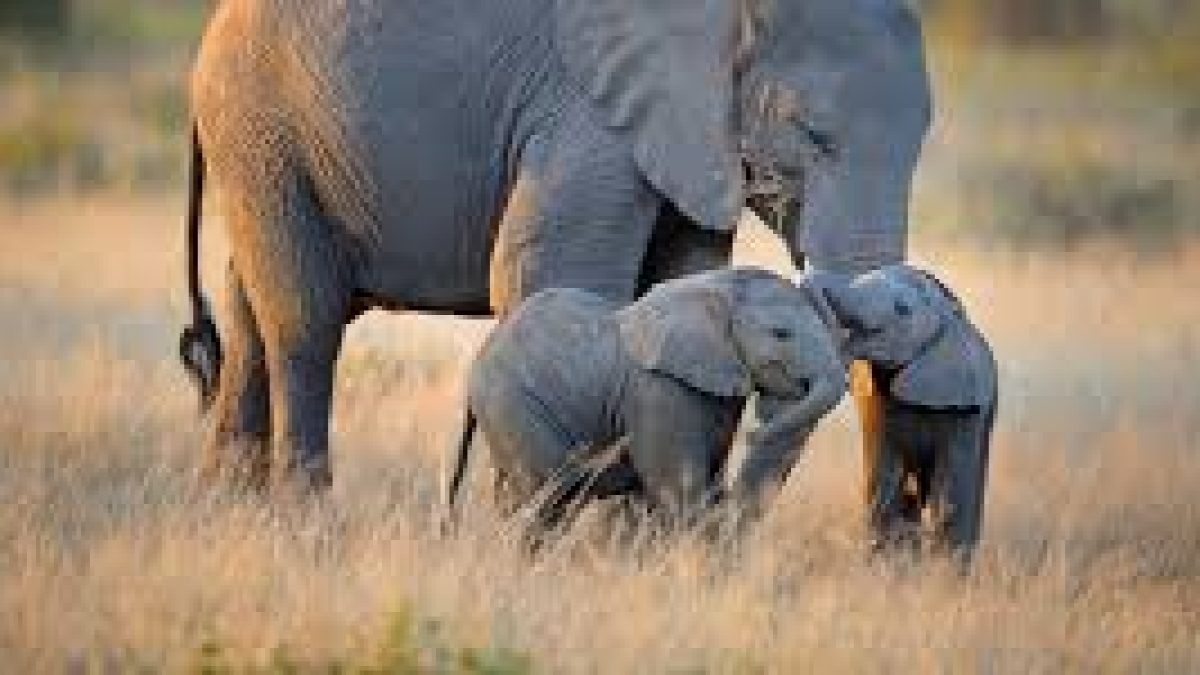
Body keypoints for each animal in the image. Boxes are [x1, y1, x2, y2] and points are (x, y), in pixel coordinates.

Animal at [177, 0, 932, 491]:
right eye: (811, 134)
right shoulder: (590, 114)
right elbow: (548, 272)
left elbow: (681, 276)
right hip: (261, 126)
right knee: (305, 321)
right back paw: (305, 523)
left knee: (250, 314)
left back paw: (232, 516)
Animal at [445, 268, 847, 535]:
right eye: (781, 334)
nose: (754, 432)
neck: (717, 288)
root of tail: (476, 365)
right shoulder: (658, 389)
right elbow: (680, 490)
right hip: (514, 407)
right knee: (547, 499)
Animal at [810, 265, 998, 560]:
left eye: (902, 309)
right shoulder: (877, 404)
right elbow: (886, 479)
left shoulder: (967, 410)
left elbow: (950, 491)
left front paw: (943, 570)